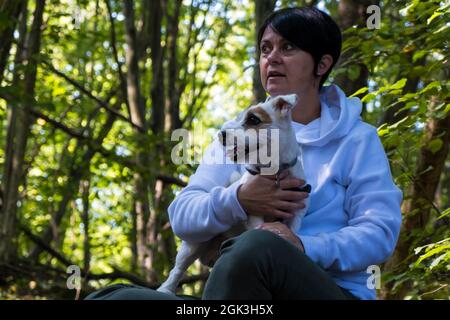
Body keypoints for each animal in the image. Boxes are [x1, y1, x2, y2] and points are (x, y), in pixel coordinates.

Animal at [158, 94, 310, 294]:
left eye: (253, 119)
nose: (221, 134)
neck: (275, 171)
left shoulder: (296, 214)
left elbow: (292, 232)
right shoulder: (255, 215)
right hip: (192, 245)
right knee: (178, 269)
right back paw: (165, 289)